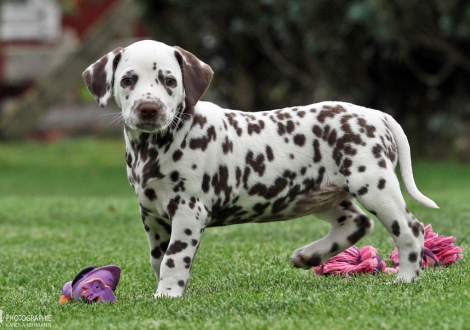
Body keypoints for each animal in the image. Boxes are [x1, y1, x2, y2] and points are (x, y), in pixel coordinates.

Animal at [82, 40, 438, 298]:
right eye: (127, 80)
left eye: (169, 81)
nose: (148, 108)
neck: (156, 146)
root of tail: (376, 114)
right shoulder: (152, 214)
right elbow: (158, 257)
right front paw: (165, 287)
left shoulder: (188, 211)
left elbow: (174, 257)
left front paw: (167, 294)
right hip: (320, 195)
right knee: (357, 222)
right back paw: (311, 255)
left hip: (375, 187)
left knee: (410, 230)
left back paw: (406, 278)